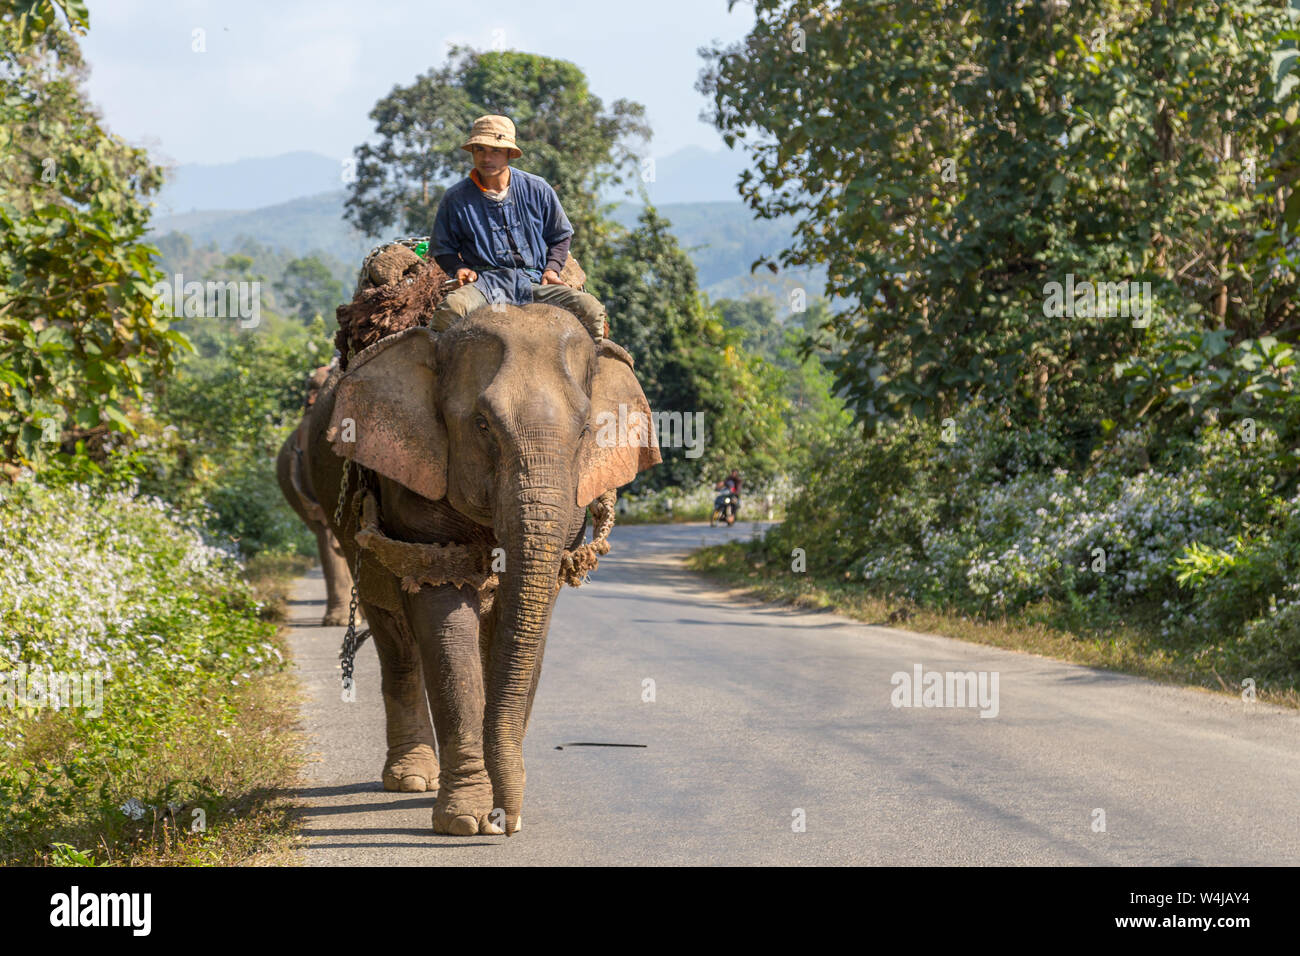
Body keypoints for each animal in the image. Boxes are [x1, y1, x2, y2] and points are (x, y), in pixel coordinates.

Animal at [299, 303, 655, 832]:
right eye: (483, 424)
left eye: (584, 431)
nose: (505, 820)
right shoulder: (415, 482)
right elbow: (445, 619)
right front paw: (466, 820)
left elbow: (527, 620)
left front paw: (497, 810)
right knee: (395, 639)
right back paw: (411, 779)